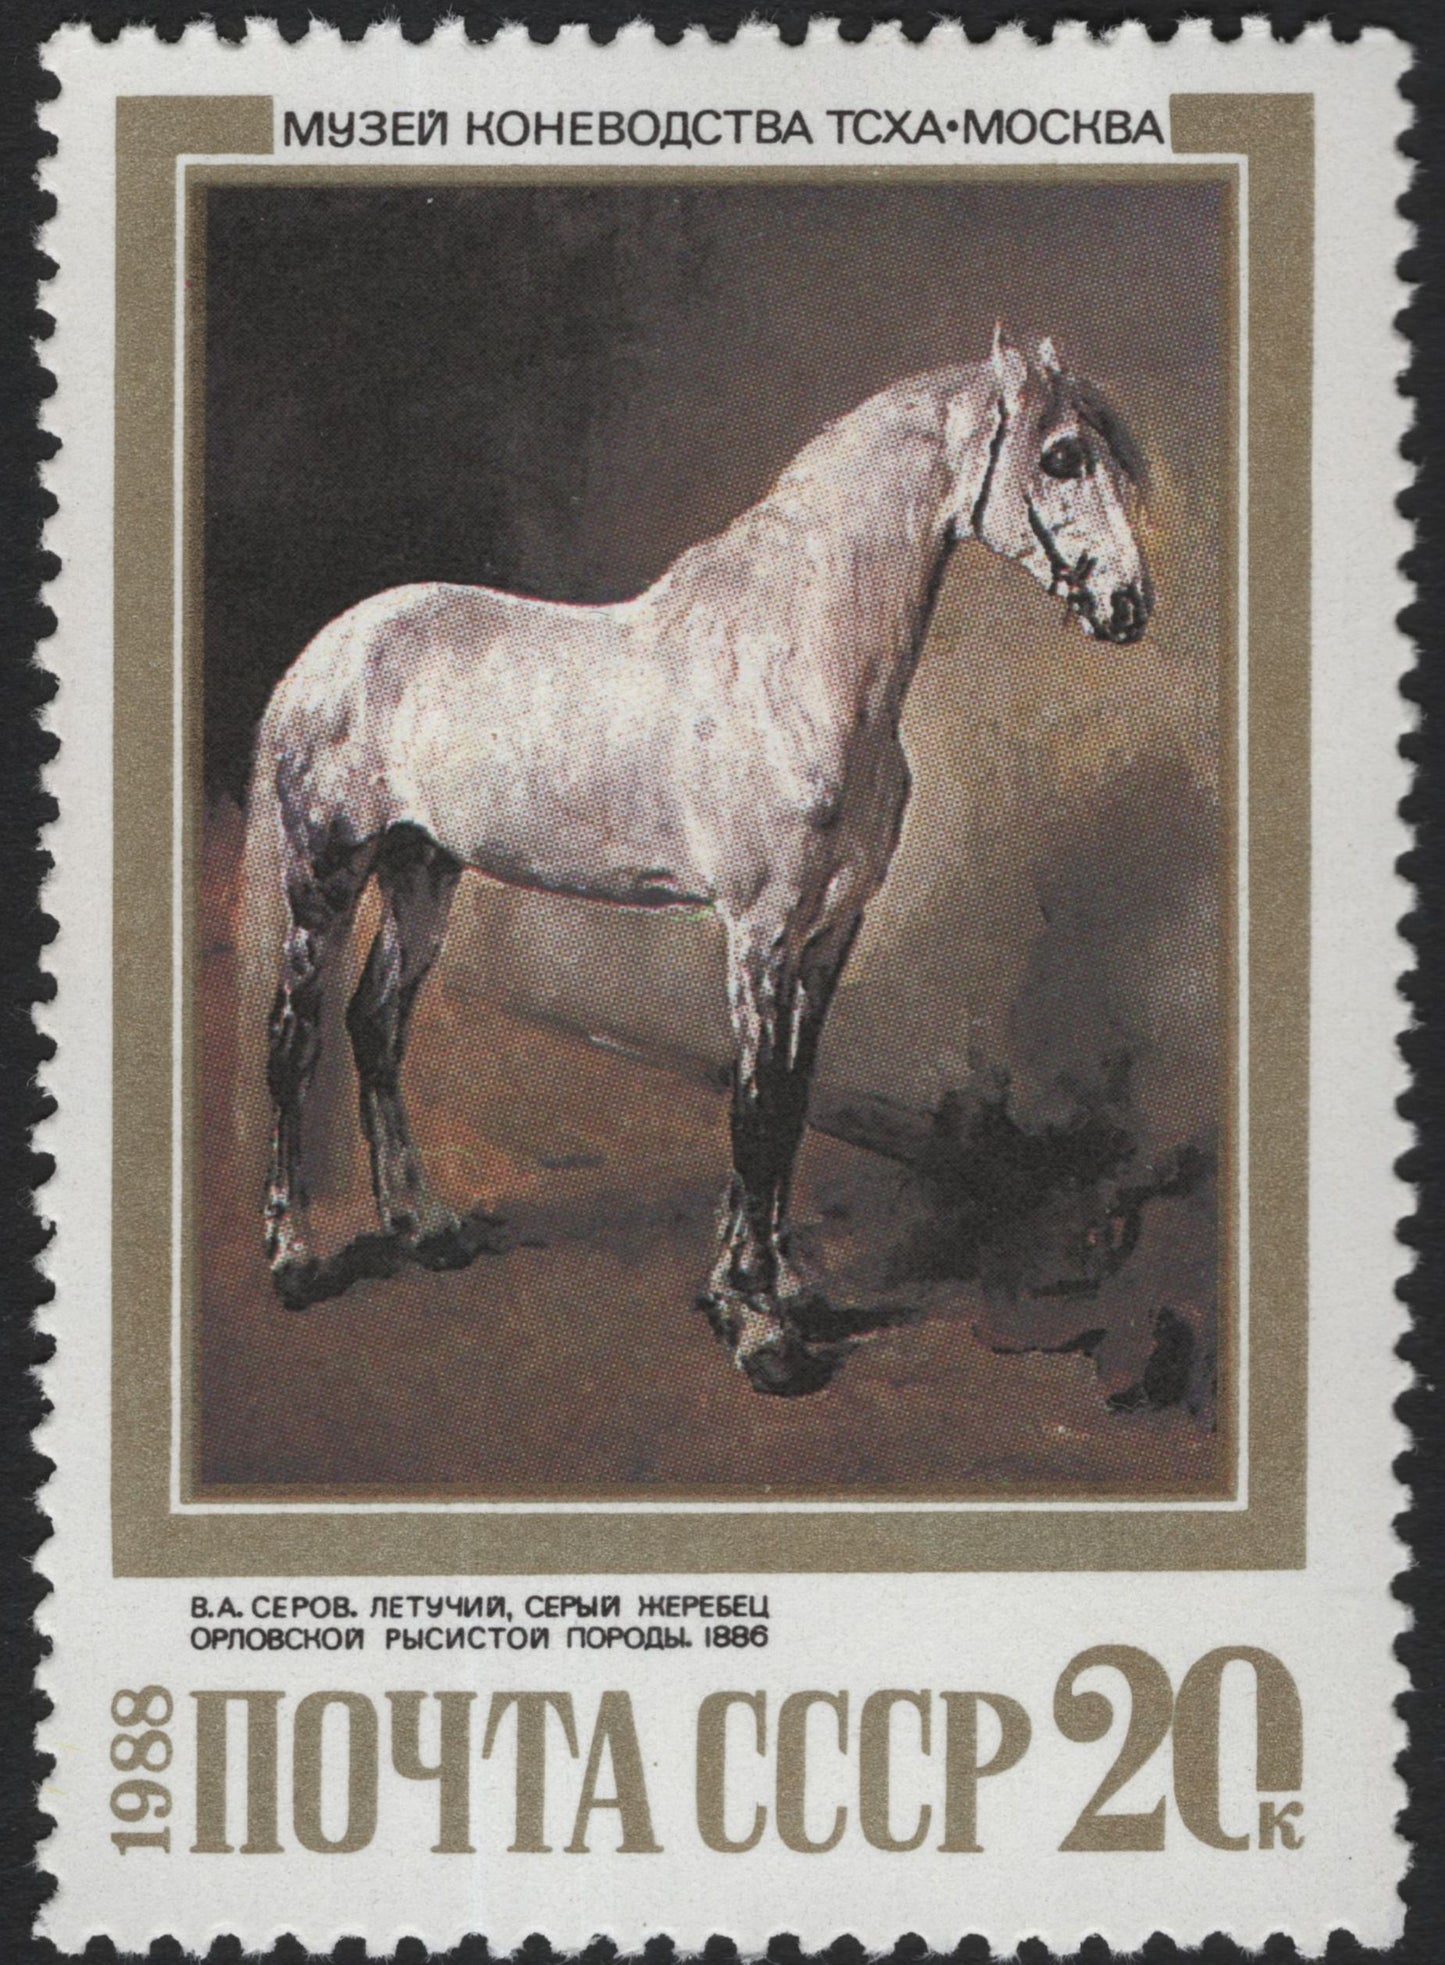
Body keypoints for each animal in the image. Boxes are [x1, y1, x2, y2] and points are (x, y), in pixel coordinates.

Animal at [236, 327, 1153, 1396]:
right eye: (1061, 456)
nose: (1128, 605)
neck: (795, 671)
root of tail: (326, 653)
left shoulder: (829, 932)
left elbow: (789, 1104)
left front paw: (778, 1285)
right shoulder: (758, 933)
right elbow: (752, 1112)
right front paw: (757, 1328)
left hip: (423, 872)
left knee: (375, 1024)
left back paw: (425, 1225)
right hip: (326, 878)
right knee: (294, 1040)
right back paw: (296, 1258)